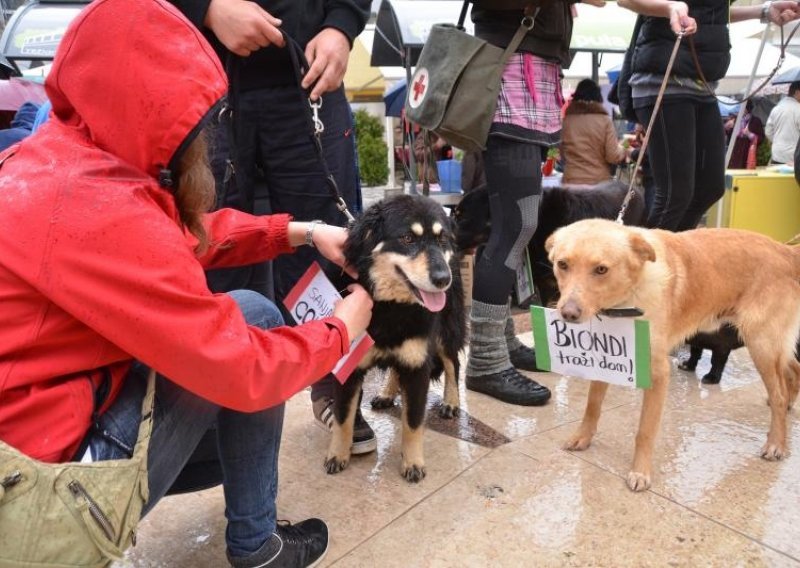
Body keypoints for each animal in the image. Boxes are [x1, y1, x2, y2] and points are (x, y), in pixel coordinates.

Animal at [322, 194, 466, 480]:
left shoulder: (419, 366)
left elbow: (412, 422)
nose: (443, 279)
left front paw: (413, 463)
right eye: (407, 238)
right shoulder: (349, 366)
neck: (392, 306)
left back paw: (451, 401)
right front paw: (338, 454)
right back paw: (387, 393)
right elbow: (343, 418)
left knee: (452, 363)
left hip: (446, 331)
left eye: (441, 239)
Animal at [544, 220, 800, 490]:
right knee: (793, 369)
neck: (629, 296)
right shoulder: (606, 360)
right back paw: (788, 405)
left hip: (761, 344)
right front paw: (583, 437)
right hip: (770, 346)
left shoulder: (657, 374)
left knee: (779, 393)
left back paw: (776, 442)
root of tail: (785, 251)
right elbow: (592, 405)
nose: (568, 314)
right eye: (563, 264)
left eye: (601, 269)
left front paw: (640, 471)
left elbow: (645, 431)